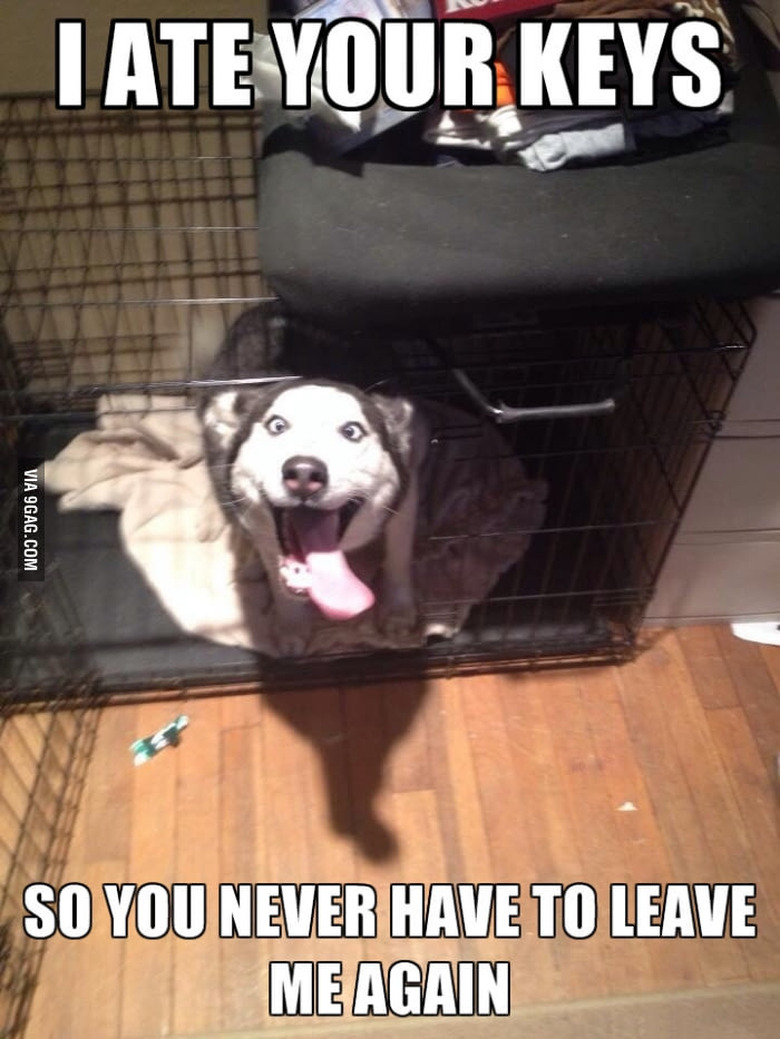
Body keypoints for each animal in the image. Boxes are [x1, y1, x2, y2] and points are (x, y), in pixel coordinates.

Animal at [198, 303, 423, 652]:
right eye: (276, 425)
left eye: (352, 431)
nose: (303, 473)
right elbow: (276, 574)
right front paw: (292, 625)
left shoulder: (407, 493)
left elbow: (399, 555)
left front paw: (398, 610)